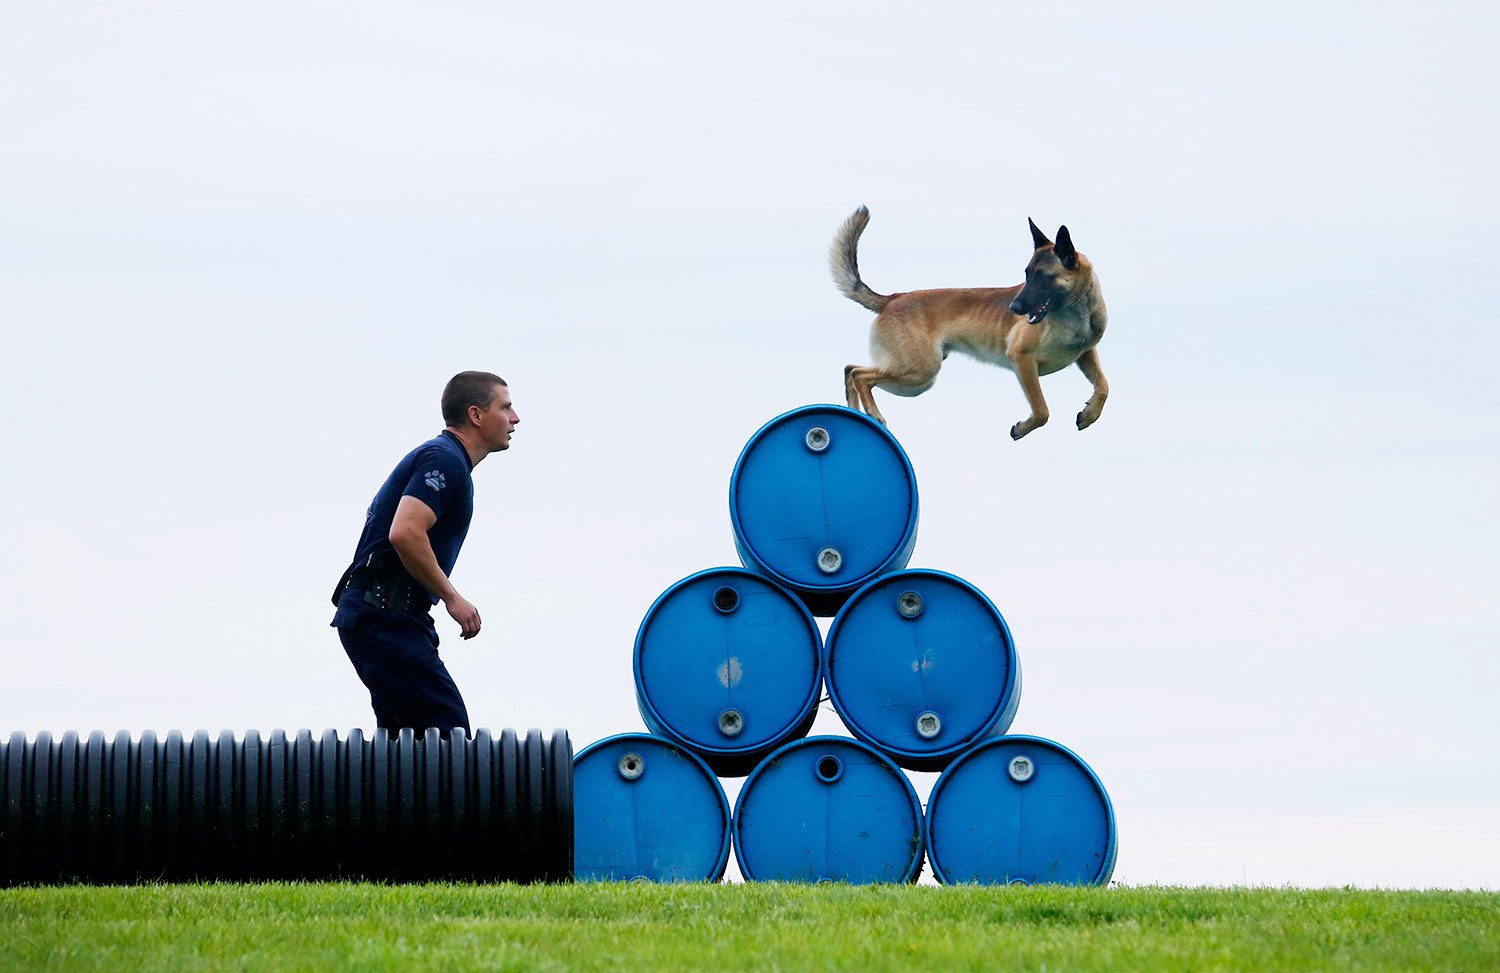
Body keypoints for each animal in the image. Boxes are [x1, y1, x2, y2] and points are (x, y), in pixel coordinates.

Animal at [828, 206, 1110, 437]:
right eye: (1027, 275)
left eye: (1044, 277)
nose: (1014, 308)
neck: (1075, 312)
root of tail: (892, 299)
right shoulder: (1022, 359)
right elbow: (1042, 410)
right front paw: (1022, 428)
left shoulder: (1086, 353)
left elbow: (1104, 385)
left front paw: (1090, 414)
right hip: (919, 372)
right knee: (860, 375)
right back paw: (874, 414)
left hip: (913, 376)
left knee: (850, 369)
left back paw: (856, 412)